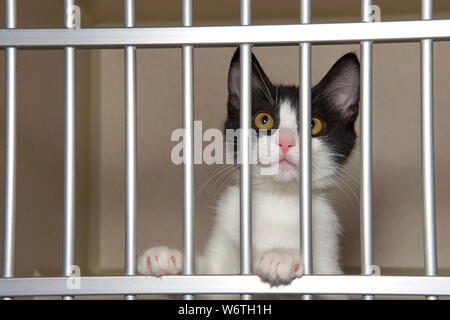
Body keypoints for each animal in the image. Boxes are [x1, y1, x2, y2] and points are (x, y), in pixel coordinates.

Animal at [136, 48, 358, 296]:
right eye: (264, 119)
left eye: (313, 124)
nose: (285, 142)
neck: (278, 200)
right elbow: (204, 276)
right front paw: (169, 258)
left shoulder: (328, 258)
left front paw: (281, 256)